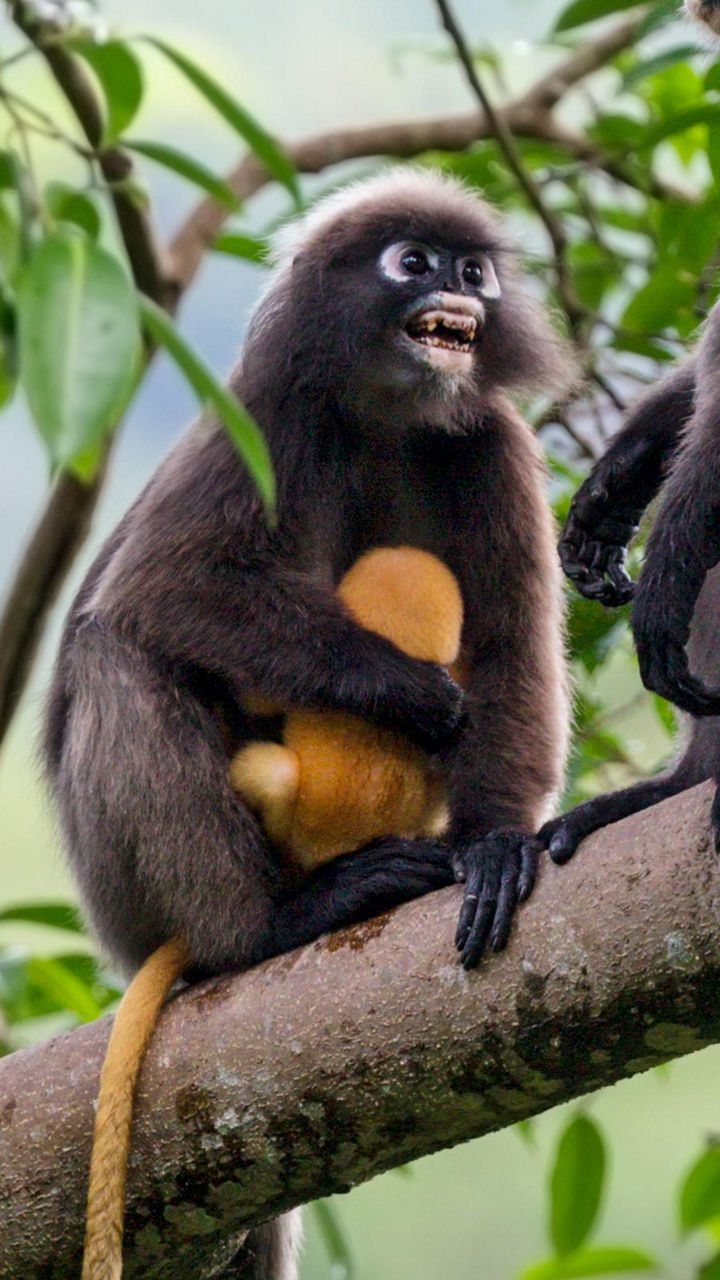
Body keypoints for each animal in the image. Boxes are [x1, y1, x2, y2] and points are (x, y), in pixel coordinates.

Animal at [45, 168, 572, 1280]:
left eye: (476, 270)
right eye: (411, 261)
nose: (458, 288)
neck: (387, 411)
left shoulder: (494, 445)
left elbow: (513, 651)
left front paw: (497, 843)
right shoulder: (269, 411)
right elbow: (166, 586)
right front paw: (410, 692)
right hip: (123, 895)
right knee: (117, 648)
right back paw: (269, 925)